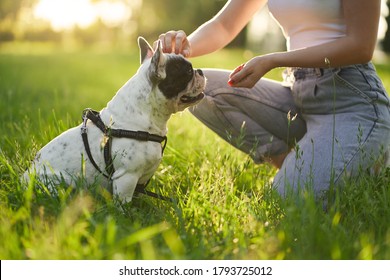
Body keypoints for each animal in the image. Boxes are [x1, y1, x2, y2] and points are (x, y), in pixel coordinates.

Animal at [23, 37, 207, 202]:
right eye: (188, 72)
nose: (200, 71)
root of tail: (24, 179)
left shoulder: (139, 180)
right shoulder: (127, 177)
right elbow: (124, 204)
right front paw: (127, 215)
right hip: (59, 183)